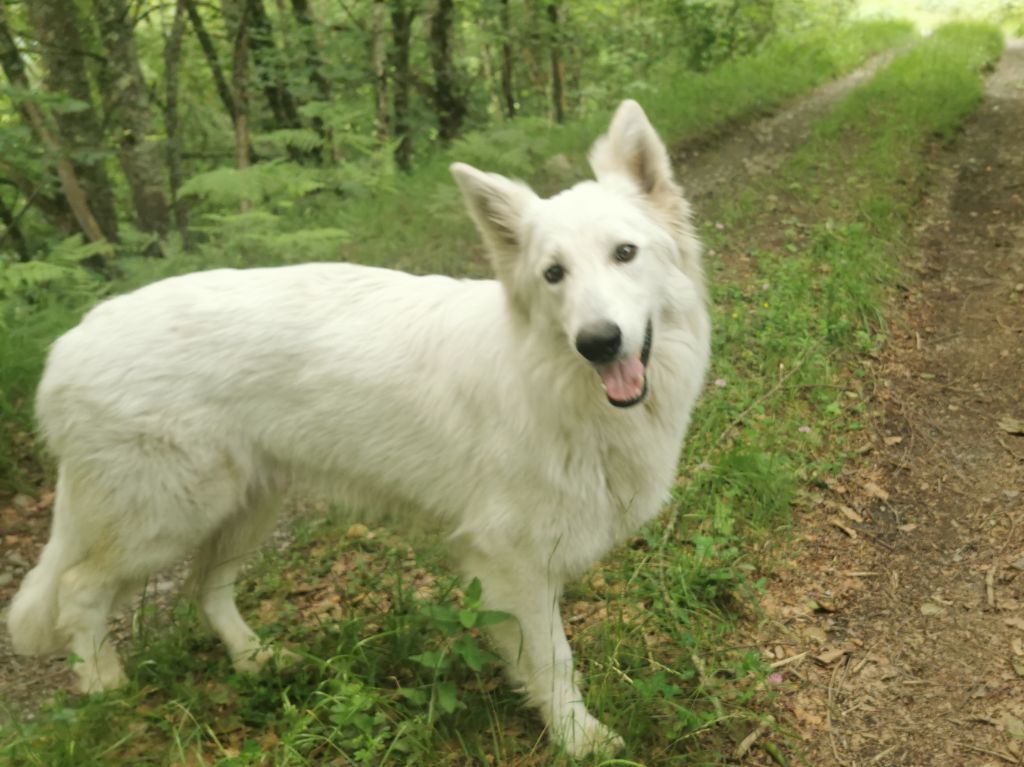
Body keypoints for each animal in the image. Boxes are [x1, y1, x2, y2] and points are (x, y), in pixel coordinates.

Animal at [8, 98, 708, 749]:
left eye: (624, 254)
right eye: (553, 274)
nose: (598, 342)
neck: (560, 385)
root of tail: (70, 343)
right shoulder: (513, 560)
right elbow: (553, 661)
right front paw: (577, 738)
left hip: (243, 508)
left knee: (205, 588)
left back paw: (255, 658)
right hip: (165, 518)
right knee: (79, 590)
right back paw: (106, 692)